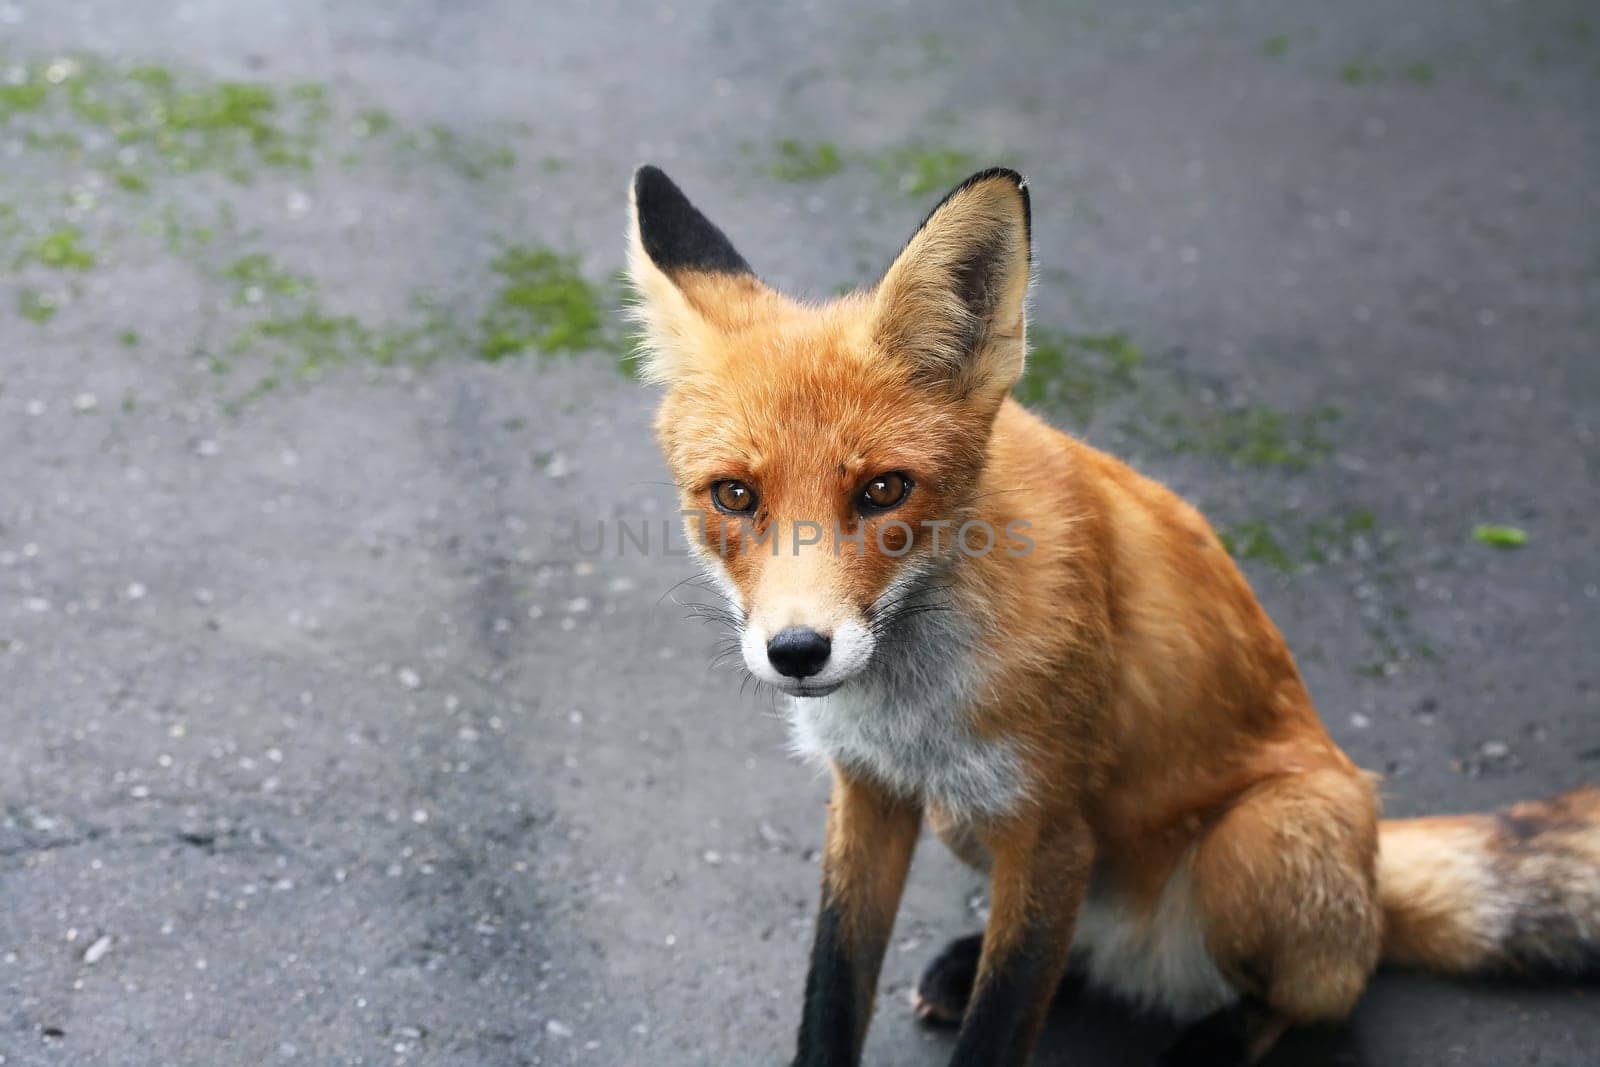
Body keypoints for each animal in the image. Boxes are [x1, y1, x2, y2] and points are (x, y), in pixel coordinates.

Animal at [624, 160, 1600, 1067]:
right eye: (735, 495)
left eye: (884, 490)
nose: (798, 650)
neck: (912, 708)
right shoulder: (871, 792)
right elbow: (833, 987)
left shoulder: (1052, 825)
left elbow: (1003, 1022)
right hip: (970, 825)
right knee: (1078, 954)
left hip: (1254, 842)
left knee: (1320, 989)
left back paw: (1216, 1037)